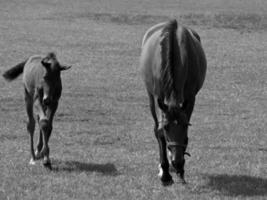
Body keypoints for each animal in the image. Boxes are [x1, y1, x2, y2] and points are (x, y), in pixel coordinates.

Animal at [140, 19, 207, 185]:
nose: (177, 161)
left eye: (184, 126)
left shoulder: (190, 98)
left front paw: (180, 169)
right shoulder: (158, 97)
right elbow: (158, 132)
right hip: (150, 96)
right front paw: (165, 173)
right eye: (167, 128)